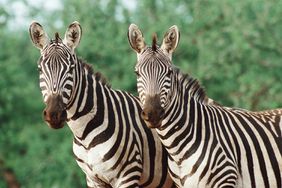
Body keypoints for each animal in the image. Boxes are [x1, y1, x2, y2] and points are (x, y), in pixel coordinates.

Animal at [28, 20, 174, 188]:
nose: (54, 115)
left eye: (71, 69)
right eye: (40, 69)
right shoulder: (93, 179)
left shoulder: (128, 176)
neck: (83, 135)